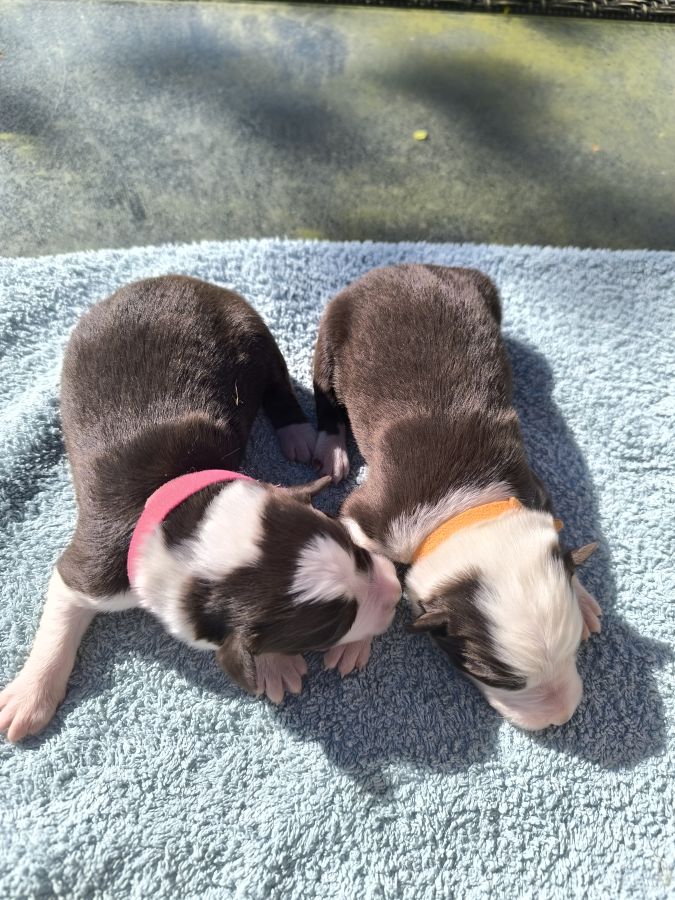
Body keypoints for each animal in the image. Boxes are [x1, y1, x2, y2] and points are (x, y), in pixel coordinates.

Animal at [0, 275, 400, 742]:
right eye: (331, 627)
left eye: (356, 553)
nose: (396, 594)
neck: (179, 519)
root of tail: (167, 280)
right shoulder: (93, 568)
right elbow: (60, 621)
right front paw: (28, 697)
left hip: (251, 330)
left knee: (279, 382)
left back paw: (299, 434)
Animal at [312, 264, 601, 731]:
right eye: (496, 678)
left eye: (575, 647)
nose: (559, 718)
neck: (465, 511)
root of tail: (401, 267)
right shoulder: (368, 515)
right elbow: (361, 553)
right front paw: (355, 640)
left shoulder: (532, 489)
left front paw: (585, 595)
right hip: (334, 326)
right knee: (325, 393)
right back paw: (331, 448)